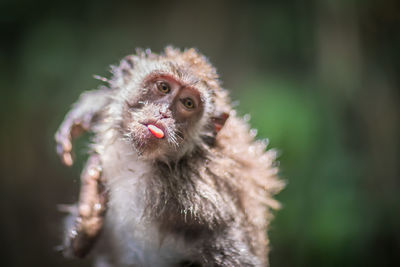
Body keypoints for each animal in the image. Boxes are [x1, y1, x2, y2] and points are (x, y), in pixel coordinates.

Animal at [55, 47, 284, 266]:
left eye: (188, 103)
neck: (141, 162)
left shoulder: (200, 200)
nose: (163, 113)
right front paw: (86, 224)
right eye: (163, 87)